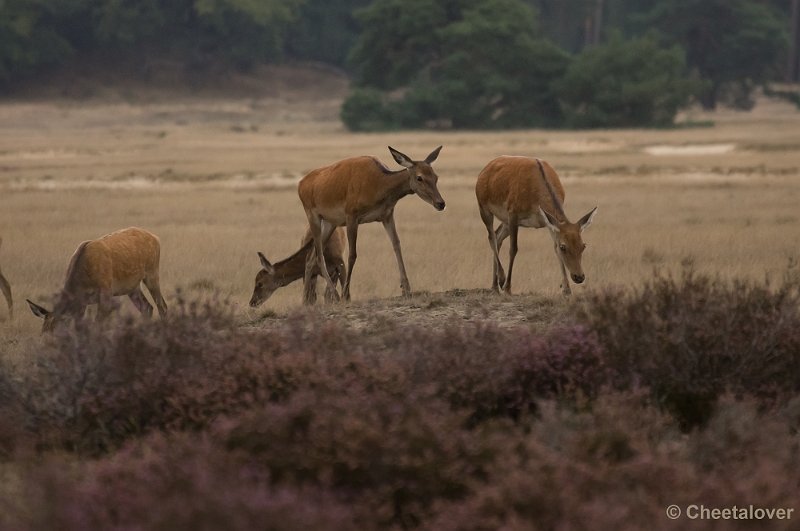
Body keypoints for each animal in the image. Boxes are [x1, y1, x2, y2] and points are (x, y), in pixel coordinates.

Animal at [26, 228, 167, 334]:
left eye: (57, 333)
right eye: (43, 333)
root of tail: (156, 238)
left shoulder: (106, 293)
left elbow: (97, 326)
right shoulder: (82, 302)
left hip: (152, 272)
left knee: (162, 306)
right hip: (132, 287)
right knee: (147, 307)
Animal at [300, 145, 446, 302]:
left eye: (436, 176)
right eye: (419, 177)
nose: (441, 203)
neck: (378, 187)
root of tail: (300, 185)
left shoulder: (387, 215)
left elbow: (396, 245)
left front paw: (406, 289)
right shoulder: (351, 215)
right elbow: (352, 255)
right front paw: (346, 294)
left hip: (330, 223)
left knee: (310, 258)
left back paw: (306, 300)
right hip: (312, 215)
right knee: (319, 256)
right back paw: (335, 295)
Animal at [476, 156, 592, 298]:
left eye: (583, 245)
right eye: (564, 247)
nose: (579, 277)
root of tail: (485, 169)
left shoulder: (548, 222)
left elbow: (554, 249)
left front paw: (566, 290)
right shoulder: (513, 213)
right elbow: (513, 249)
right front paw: (508, 288)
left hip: (505, 221)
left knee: (498, 236)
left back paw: (494, 286)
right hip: (484, 208)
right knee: (491, 237)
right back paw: (501, 280)